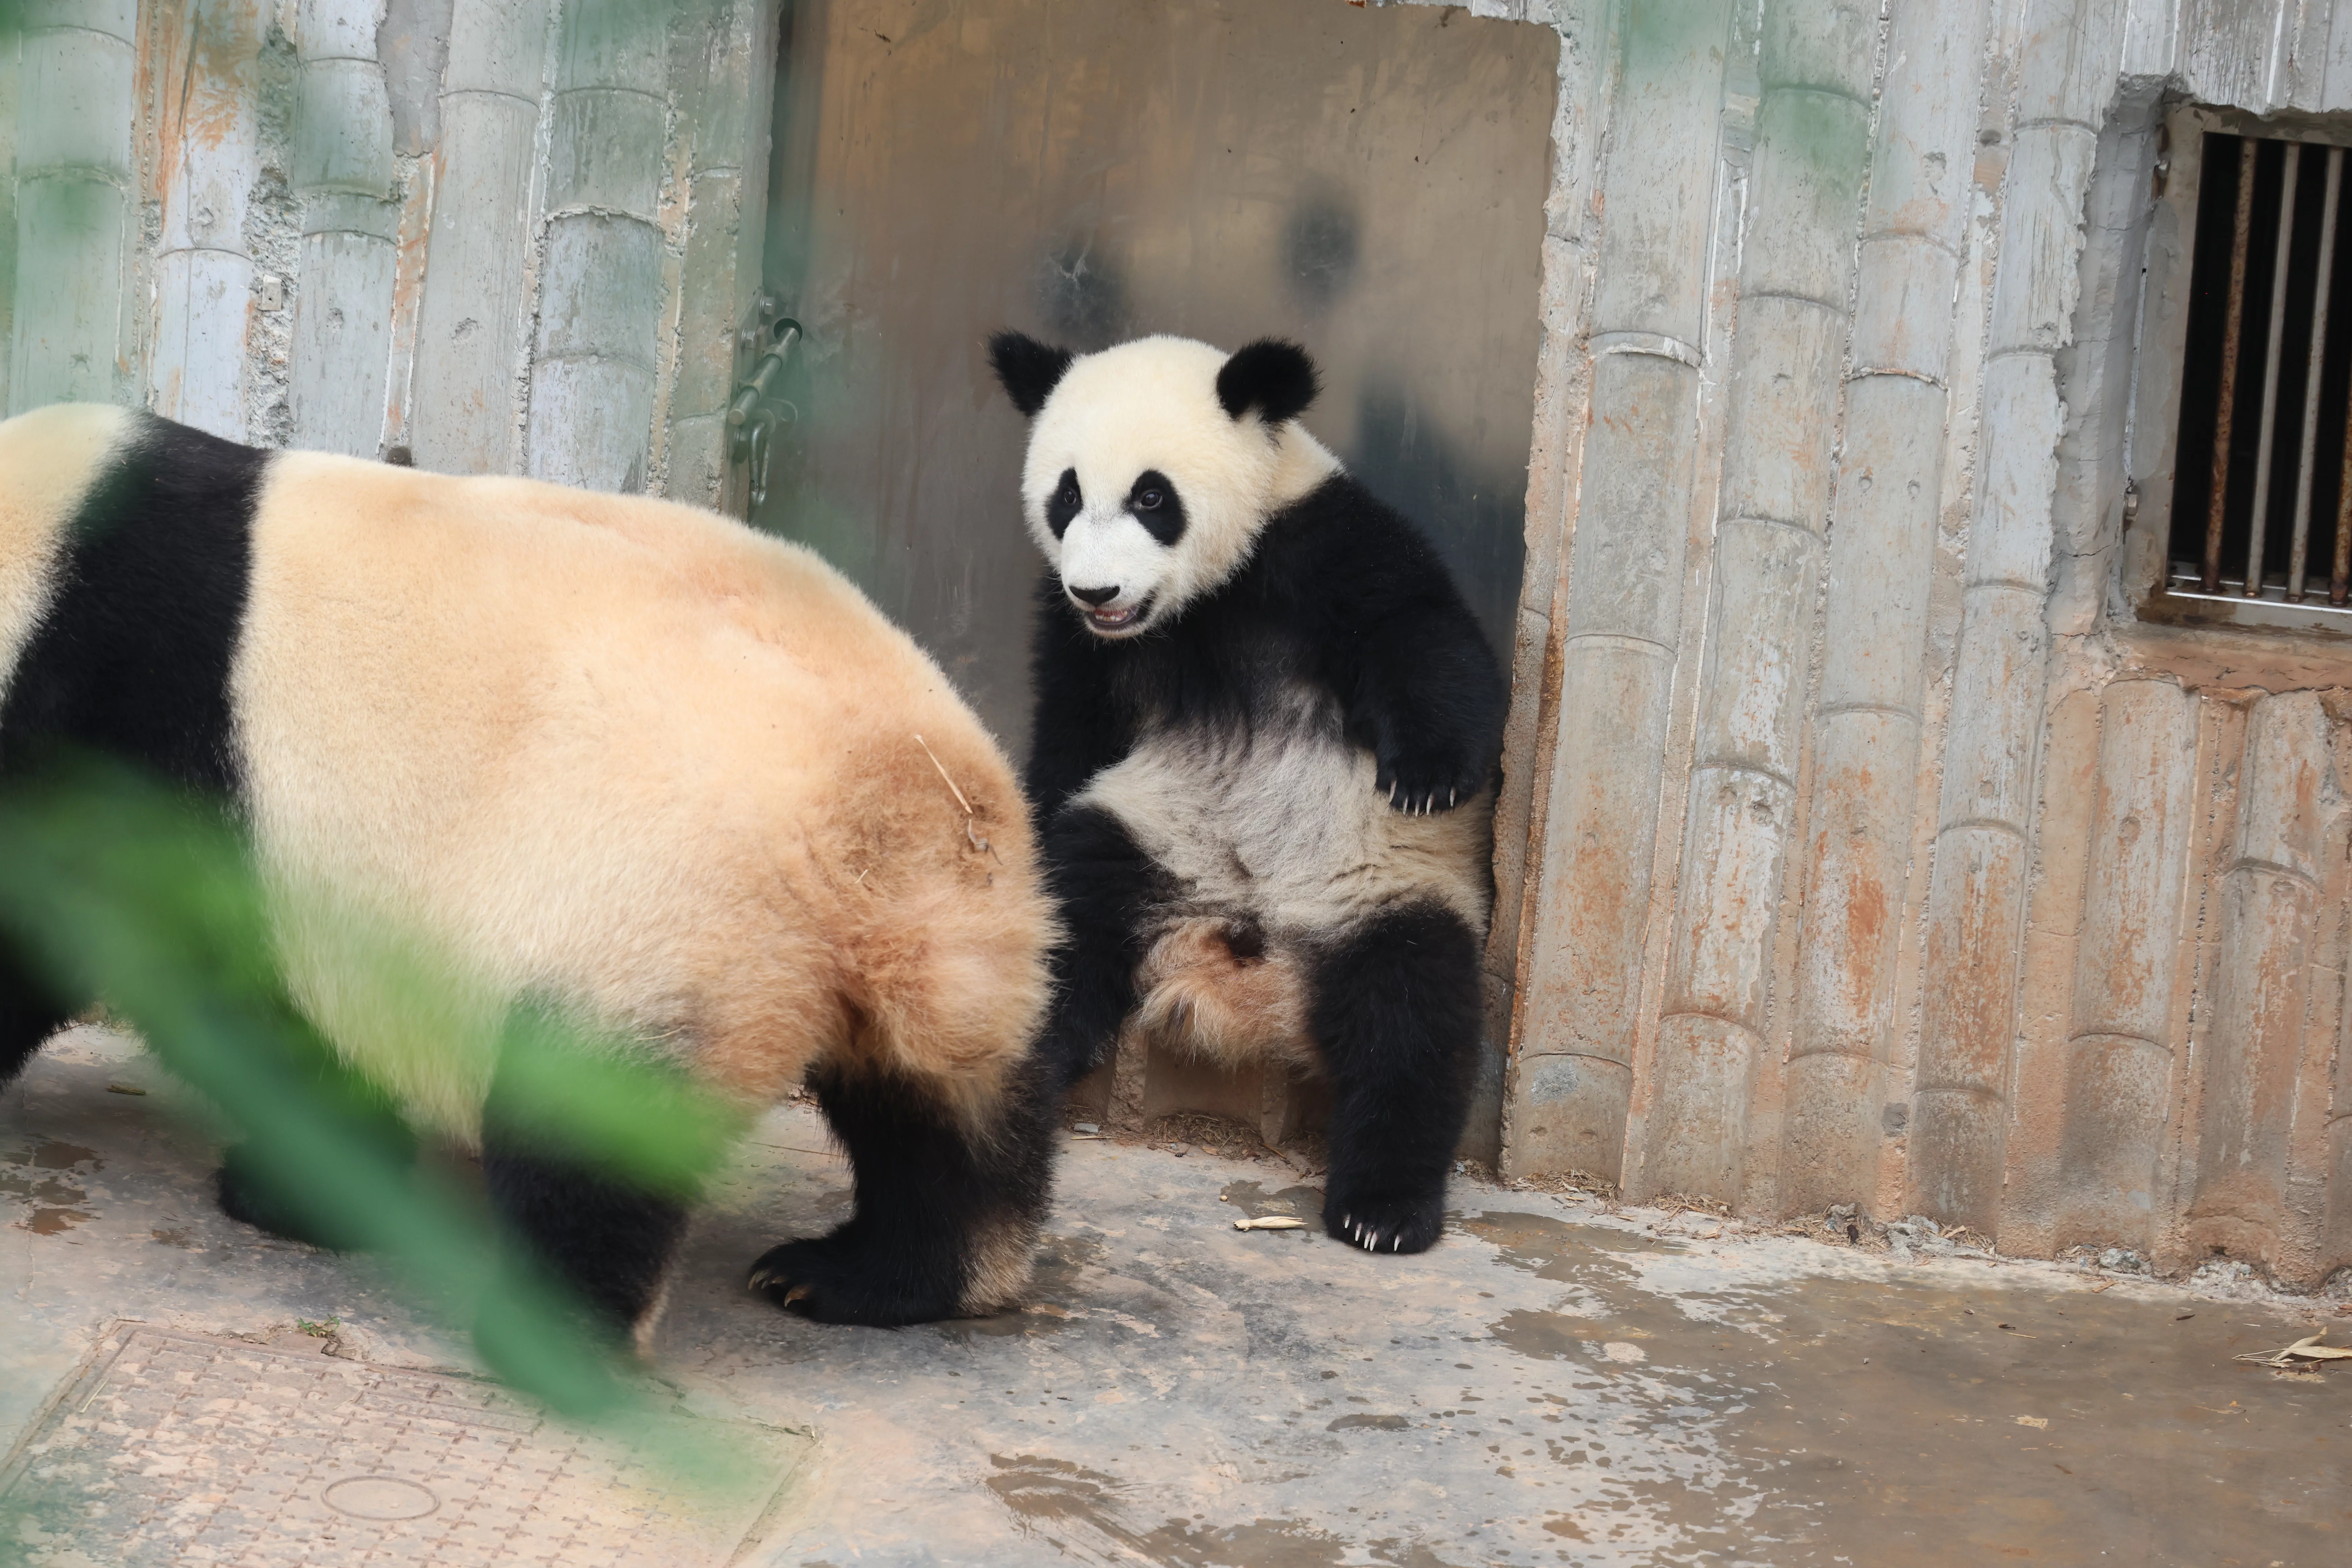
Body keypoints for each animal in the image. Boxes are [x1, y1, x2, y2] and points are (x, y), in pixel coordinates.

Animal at [0, 404, 1062, 1341]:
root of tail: (880, 817)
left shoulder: (138, 725)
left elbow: (209, 980)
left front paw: (292, 1190)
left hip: (652, 911)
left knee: (587, 1121)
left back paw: (556, 1331)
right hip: (979, 939)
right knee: (944, 1116)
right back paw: (879, 1276)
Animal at [989, 332, 1507, 1255]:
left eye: (1152, 496)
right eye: (1067, 494)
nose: (1098, 591)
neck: (1199, 605)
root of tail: (1240, 951)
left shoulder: (1321, 544)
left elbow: (1421, 633)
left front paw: (1427, 773)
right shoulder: (1083, 642)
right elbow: (1076, 731)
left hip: (1384, 891)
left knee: (1413, 1015)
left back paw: (1383, 1208)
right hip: (1151, 836)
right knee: (1070, 915)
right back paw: (1029, 1065)